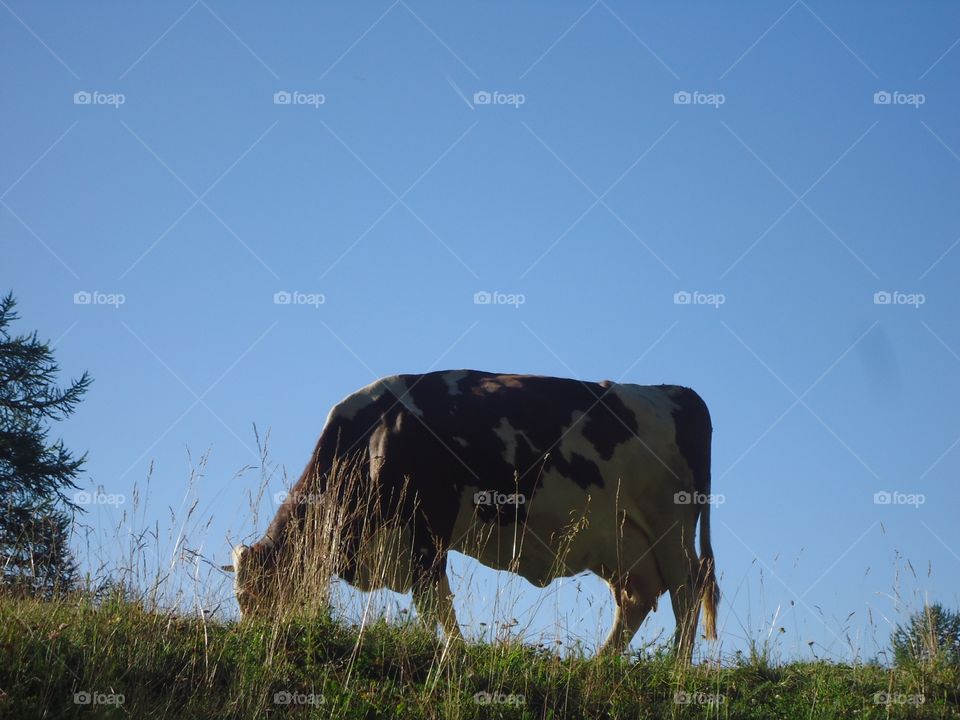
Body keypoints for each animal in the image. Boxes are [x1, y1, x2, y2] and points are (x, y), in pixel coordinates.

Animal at [227, 372, 720, 660]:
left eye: (255, 595)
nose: (253, 639)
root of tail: (677, 392)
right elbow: (432, 600)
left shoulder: (430, 524)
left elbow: (434, 599)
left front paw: (456, 654)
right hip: (622, 540)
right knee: (638, 597)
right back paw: (597, 665)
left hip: (671, 524)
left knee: (688, 588)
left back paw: (676, 668)